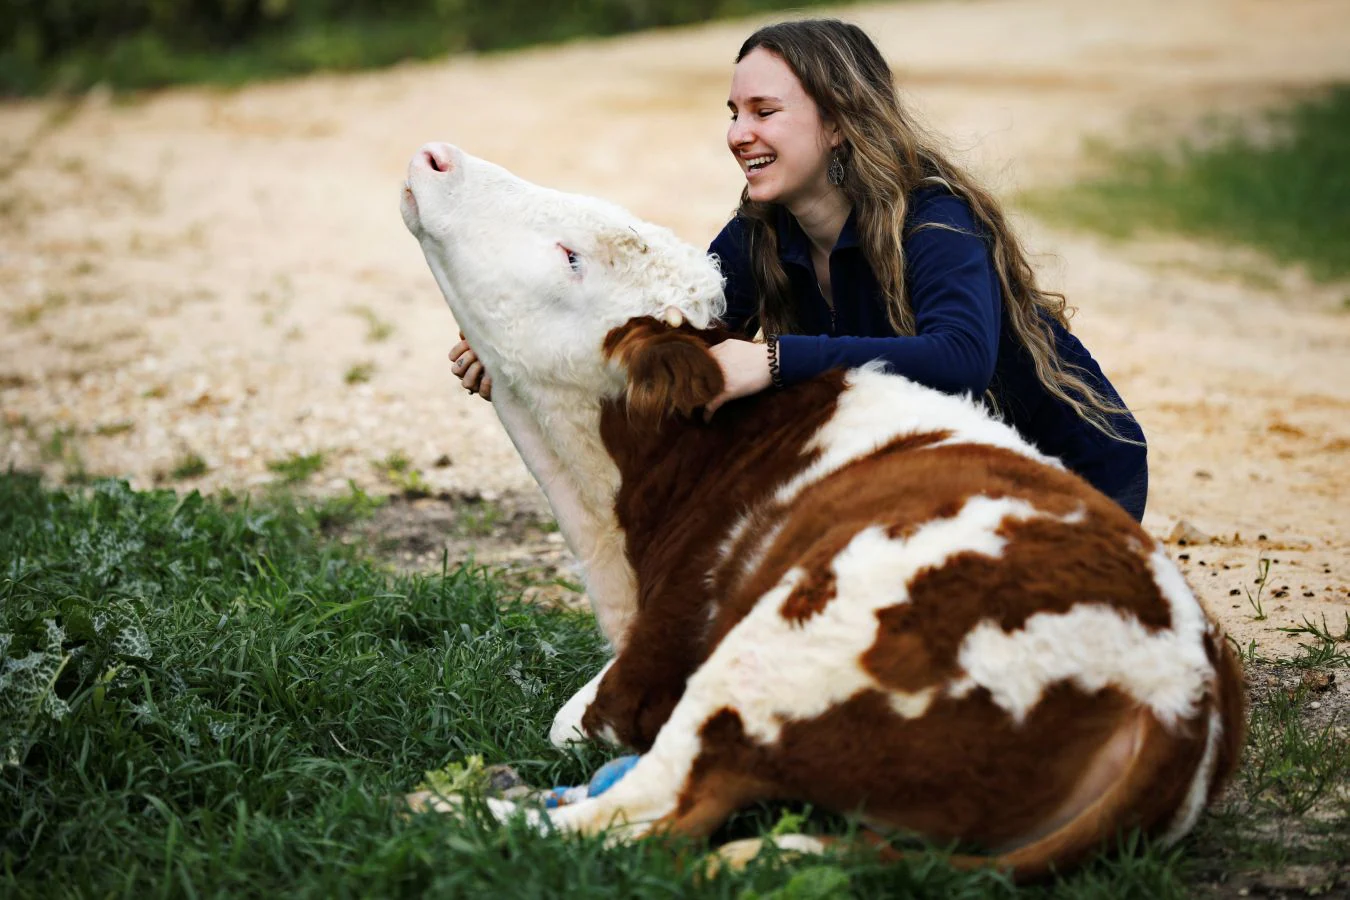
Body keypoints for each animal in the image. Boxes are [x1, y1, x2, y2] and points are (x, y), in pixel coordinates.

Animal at [396, 141, 1242, 879]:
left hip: (782, 650)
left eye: (571, 255)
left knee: (650, 814)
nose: (437, 155)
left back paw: (451, 804)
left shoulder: (653, 665)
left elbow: (576, 722)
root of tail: (1181, 694)